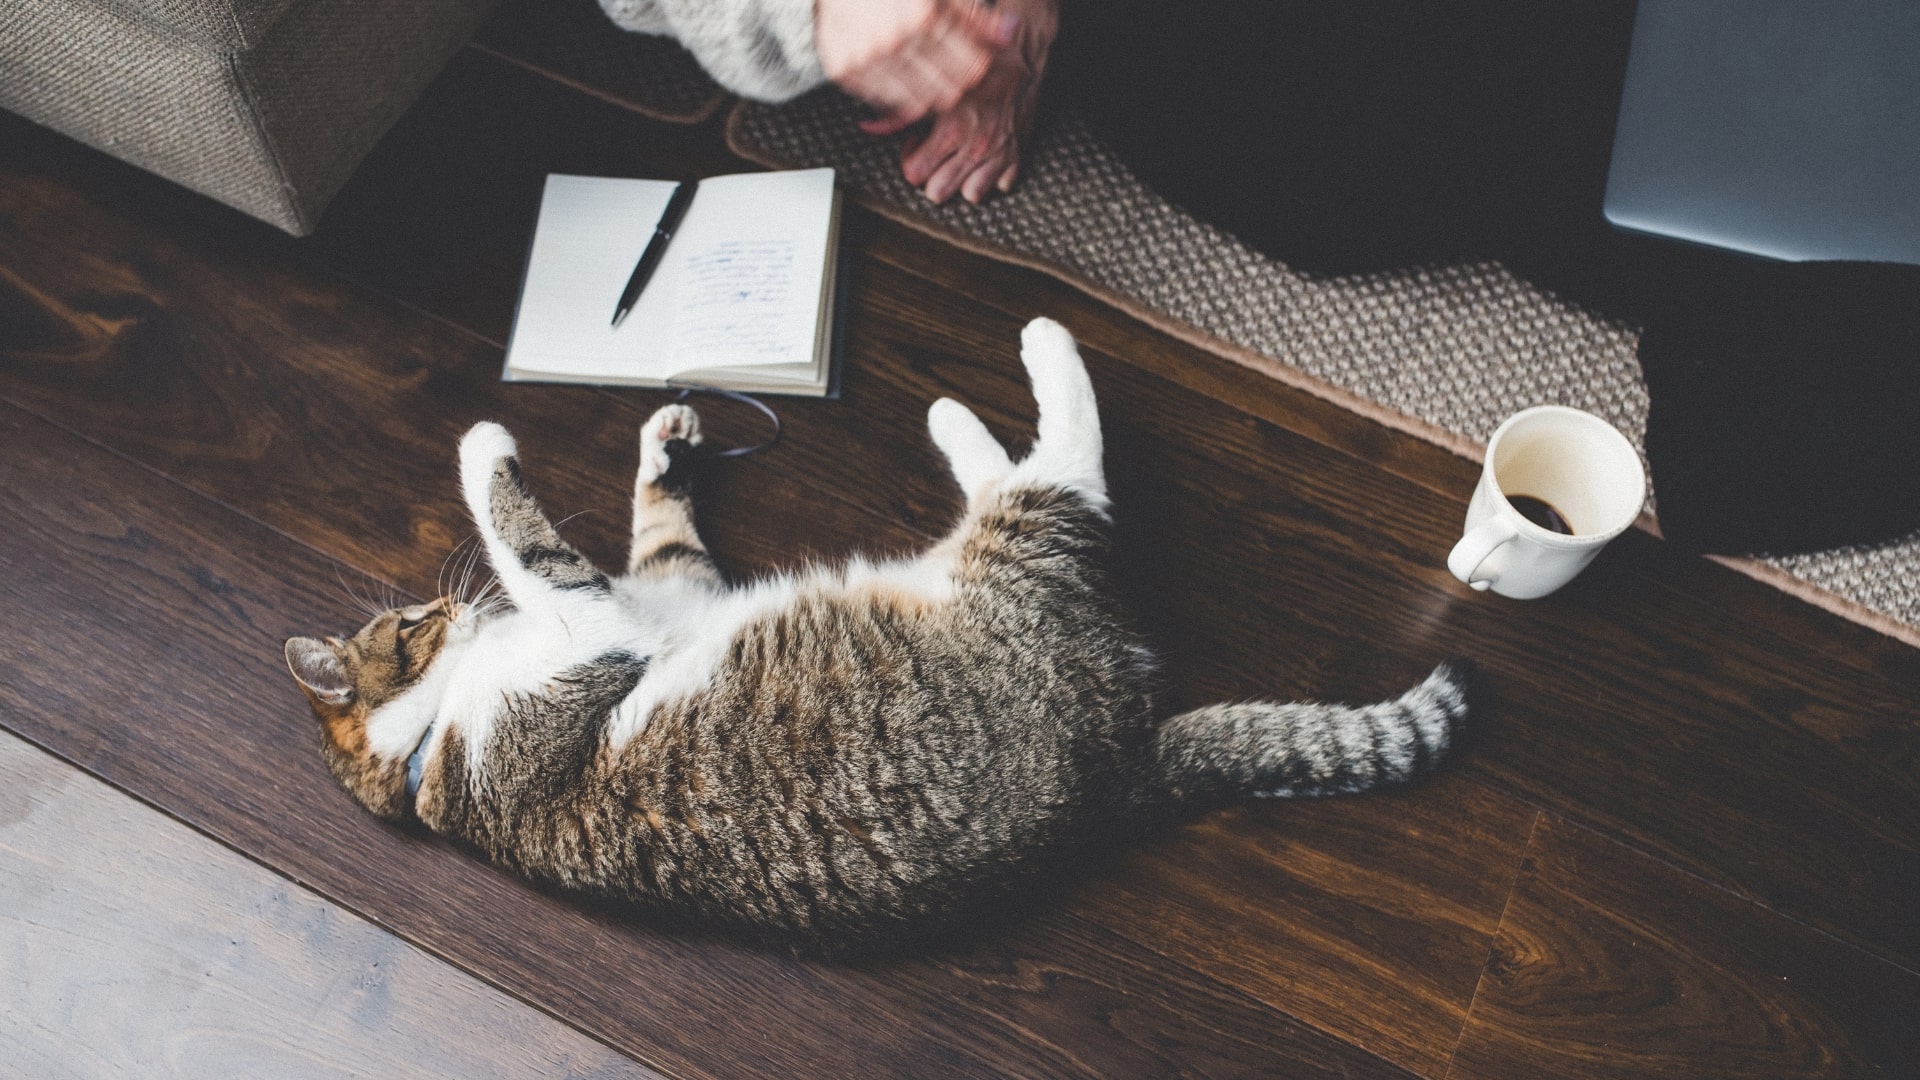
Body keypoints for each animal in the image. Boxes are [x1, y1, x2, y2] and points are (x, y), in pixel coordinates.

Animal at [284, 317, 1467, 950]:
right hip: (1016, 563)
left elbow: (650, 525)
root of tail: (1119, 773)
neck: (431, 750)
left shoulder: (668, 591)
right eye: (414, 622)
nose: (453, 607)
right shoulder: (591, 626)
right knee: (1067, 474)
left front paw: (666, 434)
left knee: (1024, 475)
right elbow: (518, 523)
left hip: (991, 555)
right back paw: (1026, 355)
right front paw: (485, 435)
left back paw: (957, 412)